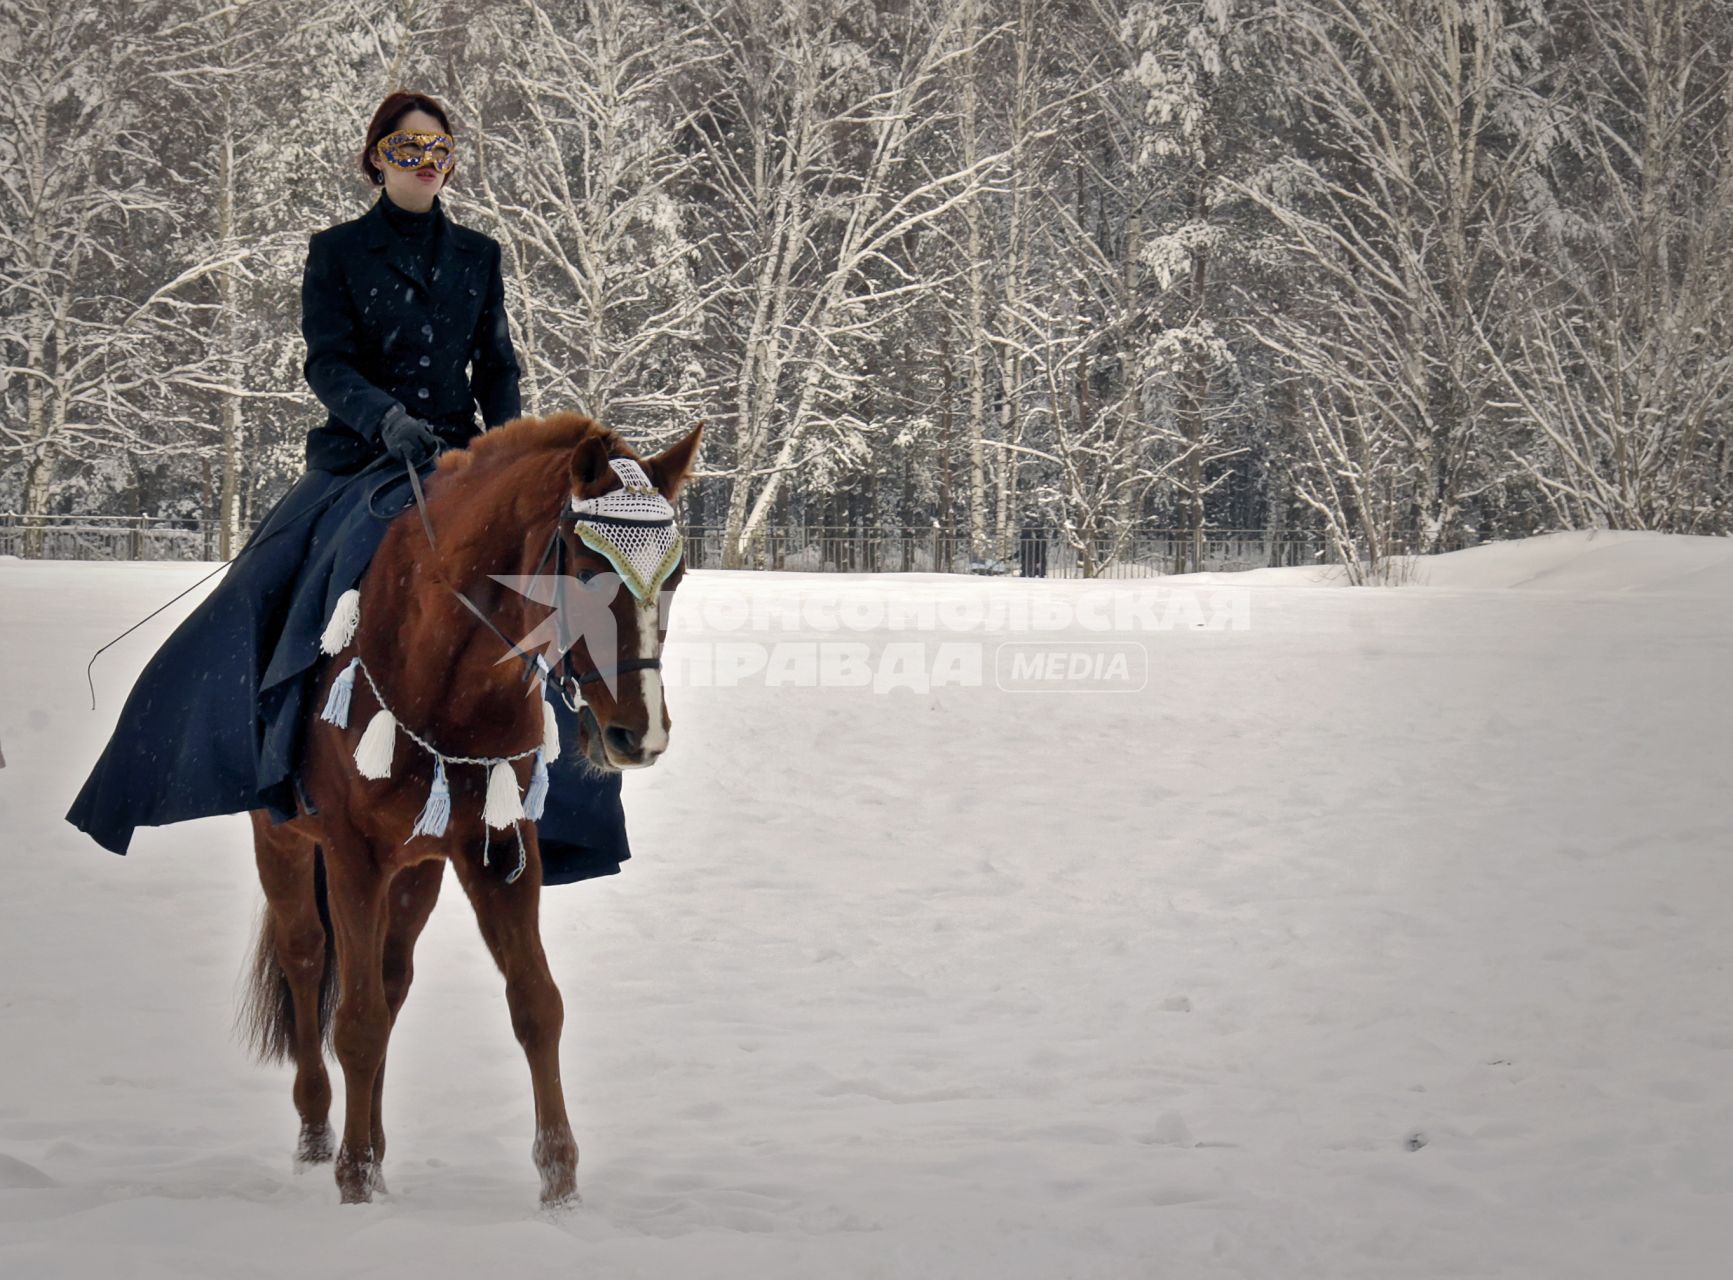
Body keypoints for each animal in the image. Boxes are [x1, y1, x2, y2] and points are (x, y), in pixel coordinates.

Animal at [239, 415, 703, 1205]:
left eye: (672, 577)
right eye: (586, 569)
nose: (639, 735)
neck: (448, 671)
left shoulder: (500, 846)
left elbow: (536, 1003)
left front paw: (560, 1188)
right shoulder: (353, 854)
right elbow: (354, 1020)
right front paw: (353, 1186)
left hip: (417, 870)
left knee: (391, 979)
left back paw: (377, 1145)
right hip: (286, 843)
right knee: (307, 958)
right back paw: (320, 1134)